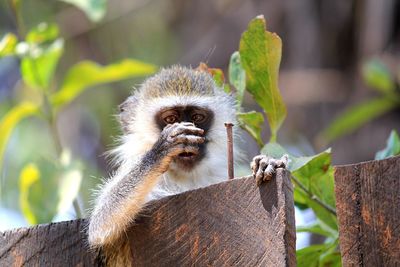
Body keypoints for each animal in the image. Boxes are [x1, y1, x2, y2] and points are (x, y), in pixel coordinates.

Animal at [87, 65, 288, 266]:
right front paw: (162, 148)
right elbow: (100, 222)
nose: (190, 130)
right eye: (170, 119)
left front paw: (265, 162)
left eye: (197, 117)